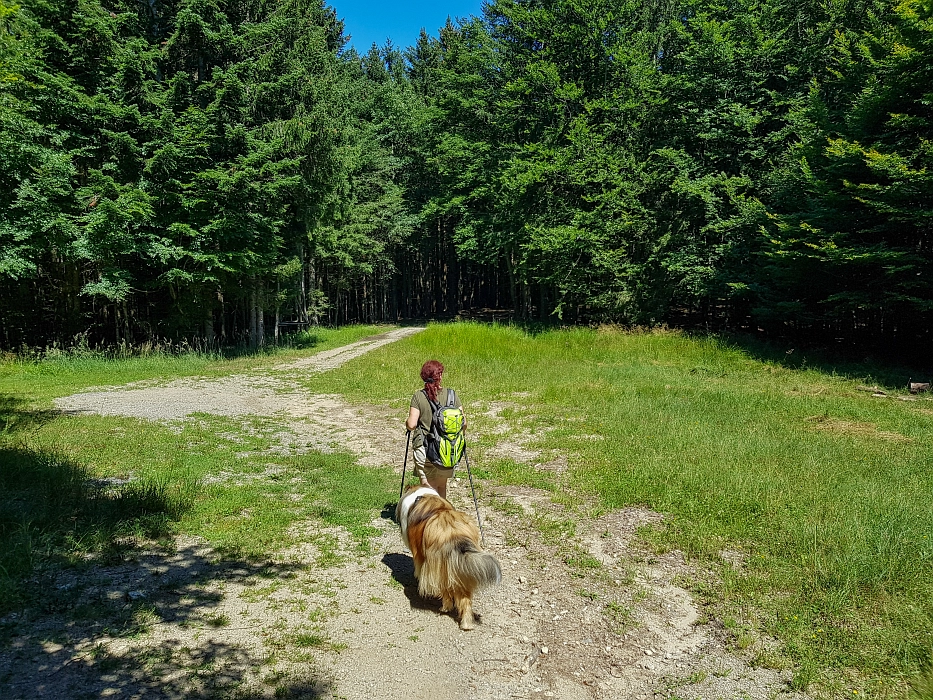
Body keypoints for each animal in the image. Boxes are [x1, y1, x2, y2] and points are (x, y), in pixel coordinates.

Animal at [398, 470, 502, 628]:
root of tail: (453, 534)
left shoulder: (419, 555)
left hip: (440, 568)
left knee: (446, 592)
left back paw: (445, 608)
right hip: (459, 571)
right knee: (465, 600)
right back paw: (466, 624)